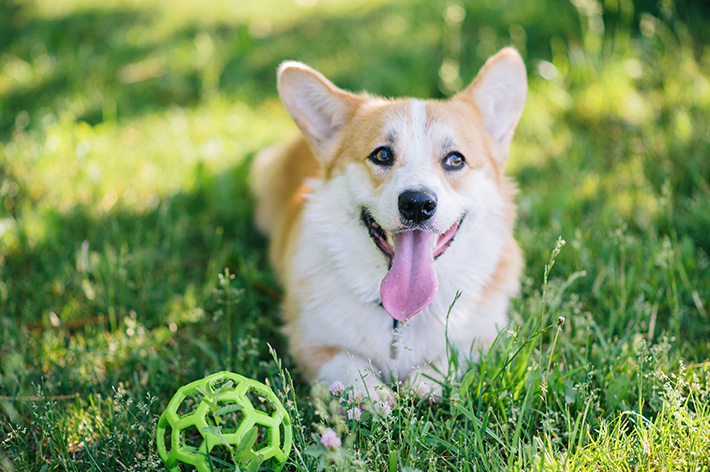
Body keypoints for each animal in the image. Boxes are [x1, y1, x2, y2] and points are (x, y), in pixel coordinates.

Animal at [252, 47, 528, 398]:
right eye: (382, 155)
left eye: (455, 159)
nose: (417, 204)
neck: (401, 316)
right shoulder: (312, 343)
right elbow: (350, 366)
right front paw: (377, 397)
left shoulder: (485, 336)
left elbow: (452, 355)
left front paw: (424, 383)